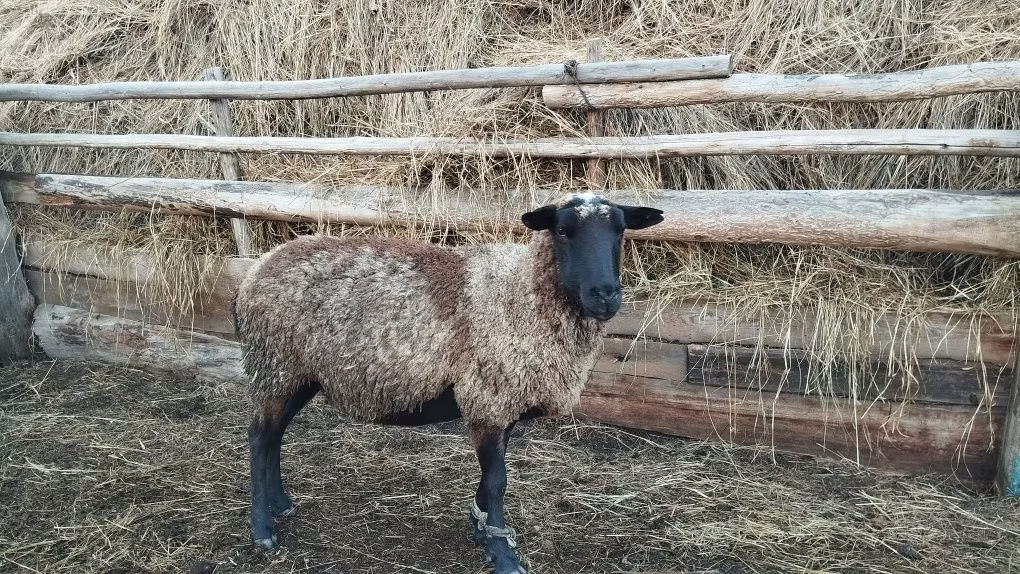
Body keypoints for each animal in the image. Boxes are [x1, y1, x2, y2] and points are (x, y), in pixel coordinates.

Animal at [232, 192, 664, 574]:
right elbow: (498, 481)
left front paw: (482, 530)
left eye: (621, 230)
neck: (523, 292)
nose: (604, 295)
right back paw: (262, 528)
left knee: (274, 435)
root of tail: (255, 270)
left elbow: (489, 481)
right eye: (562, 230)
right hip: (275, 364)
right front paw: (503, 555)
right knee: (258, 437)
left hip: (295, 373)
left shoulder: (499, 402)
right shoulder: (488, 396)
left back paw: (280, 503)